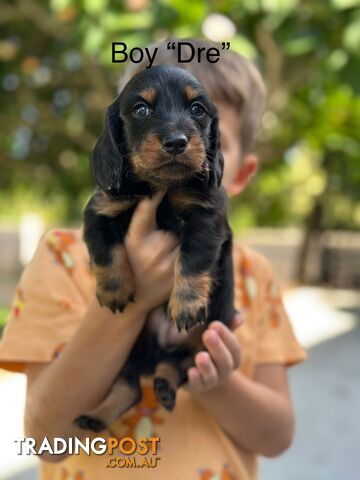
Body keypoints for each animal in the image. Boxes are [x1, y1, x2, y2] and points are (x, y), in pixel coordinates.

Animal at [74, 64, 235, 432]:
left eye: (197, 109)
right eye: (140, 109)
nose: (176, 141)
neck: (161, 187)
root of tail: (157, 352)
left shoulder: (206, 215)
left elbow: (193, 259)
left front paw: (186, 304)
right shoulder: (101, 210)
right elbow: (106, 252)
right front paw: (114, 290)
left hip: (201, 345)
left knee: (174, 367)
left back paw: (163, 386)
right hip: (128, 348)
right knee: (129, 386)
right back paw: (96, 416)